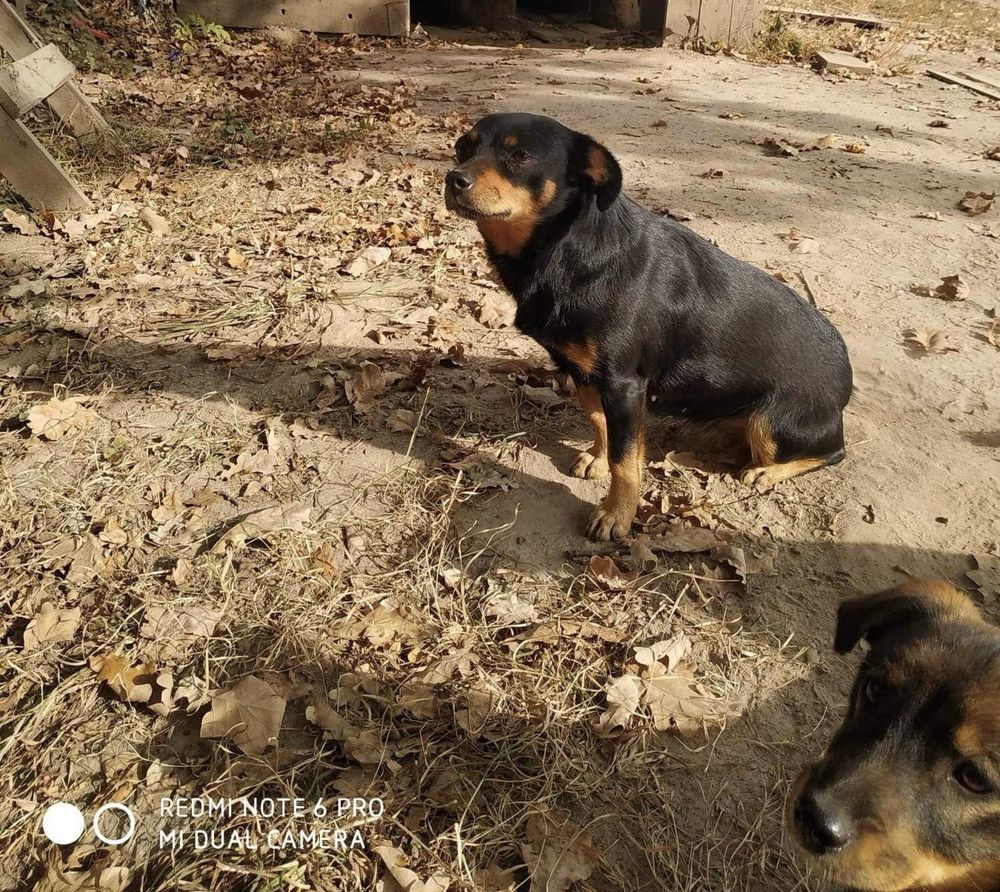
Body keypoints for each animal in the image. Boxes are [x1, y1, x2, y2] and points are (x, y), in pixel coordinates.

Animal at [446, 114, 852, 540]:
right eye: (462, 148)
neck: (564, 250)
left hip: (770, 423)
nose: (453, 179)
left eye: (520, 155)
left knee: (833, 452)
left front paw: (617, 516)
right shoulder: (584, 371)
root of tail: (846, 382)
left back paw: (767, 473)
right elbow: (599, 422)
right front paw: (598, 459)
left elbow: (625, 461)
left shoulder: (624, 382)